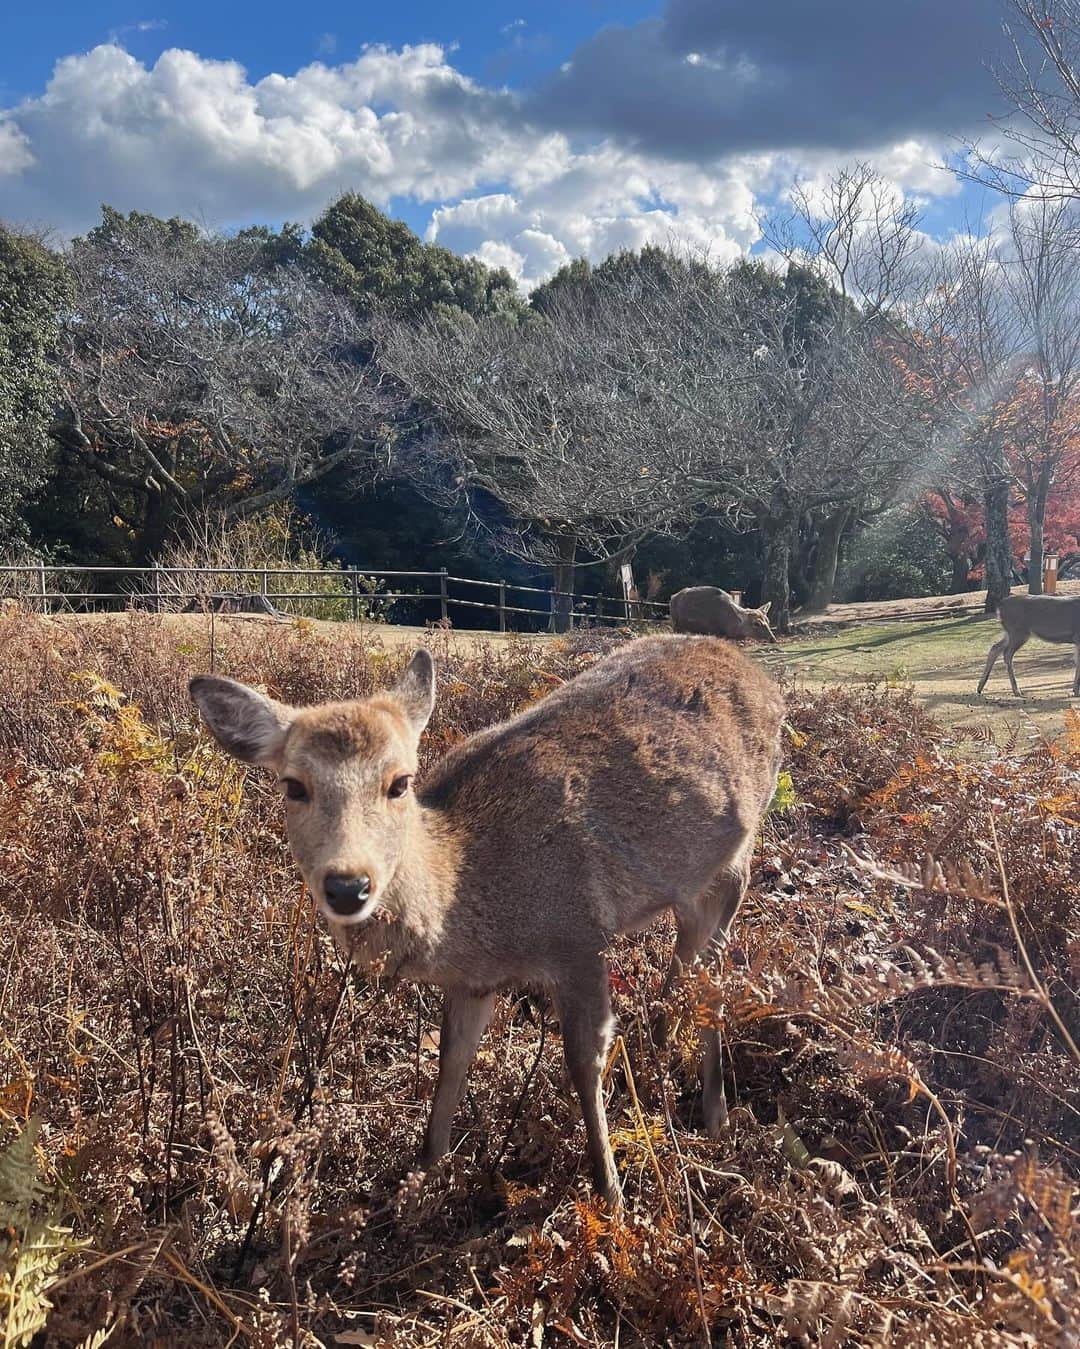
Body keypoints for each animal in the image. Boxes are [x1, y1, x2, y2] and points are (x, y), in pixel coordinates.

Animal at [190, 636, 782, 1208]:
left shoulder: (578, 934)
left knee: (715, 976)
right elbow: (451, 1062)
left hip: (737, 863)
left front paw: (611, 1193)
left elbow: (583, 1061)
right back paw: (660, 1045)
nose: (347, 885)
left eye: (399, 782)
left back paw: (714, 1111)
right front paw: (414, 1185)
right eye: (294, 785)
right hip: (688, 887)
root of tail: (762, 676)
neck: (475, 909)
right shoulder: (473, 981)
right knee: (686, 958)